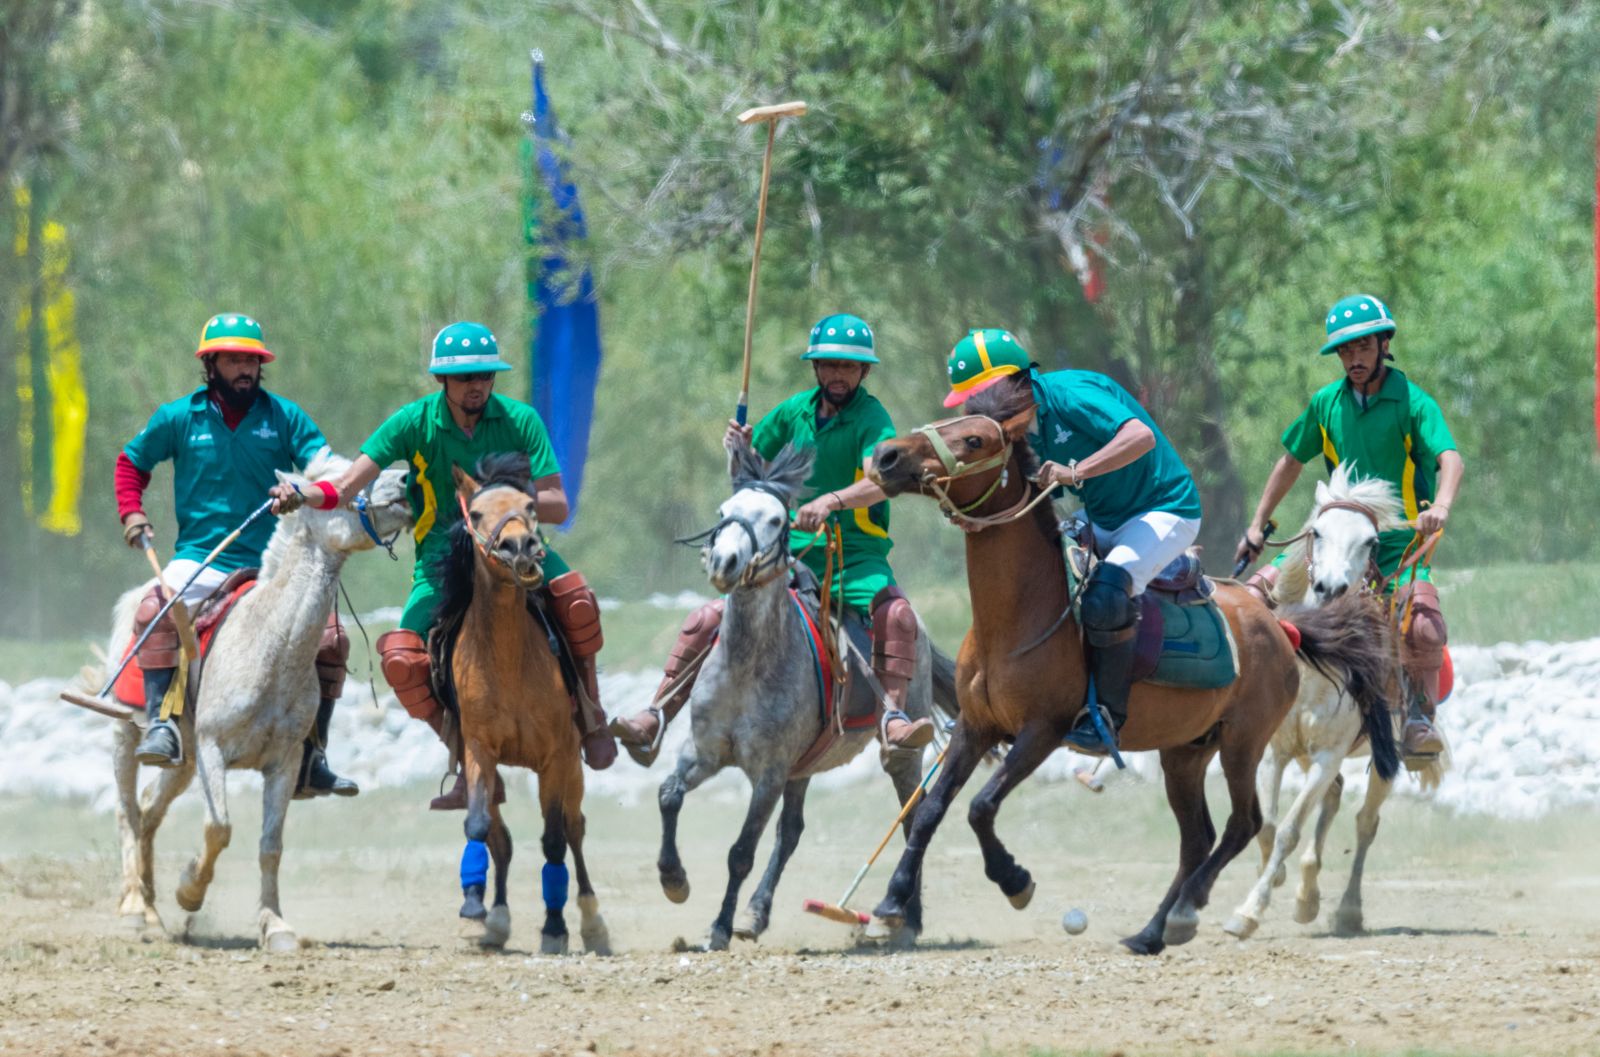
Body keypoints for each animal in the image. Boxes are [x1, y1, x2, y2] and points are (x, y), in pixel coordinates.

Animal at [109, 450, 412, 946]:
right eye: (340, 483)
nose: (405, 479)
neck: (271, 645)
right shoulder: (213, 748)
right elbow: (219, 827)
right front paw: (189, 890)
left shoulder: (284, 763)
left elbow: (271, 846)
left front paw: (276, 926)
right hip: (125, 732)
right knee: (128, 810)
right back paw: (135, 906)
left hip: (184, 757)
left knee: (151, 807)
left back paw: (151, 909)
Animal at [432, 454, 611, 959]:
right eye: (475, 514)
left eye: (530, 505)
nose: (520, 546)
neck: (508, 660)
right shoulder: (478, 749)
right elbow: (479, 826)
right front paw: (476, 906)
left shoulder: (556, 757)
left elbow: (553, 840)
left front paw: (555, 928)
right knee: (502, 839)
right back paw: (495, 919)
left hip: (573, 765)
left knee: (574, 829)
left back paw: (592, 923)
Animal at [656, 441, 953, 953]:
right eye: (723, 512)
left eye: (778, 519)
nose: (723, 562)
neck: (747, 665)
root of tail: (924, 632)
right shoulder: (704, 753)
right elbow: (669, 795)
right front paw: (674, 879)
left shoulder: (769, 773)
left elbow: (740, 852)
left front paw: (718, 928)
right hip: (804, 763)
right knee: (791, 832)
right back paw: (756, 913)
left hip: (897, 747)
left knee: (911, 815)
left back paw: (903, 920)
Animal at [864, 380, 1388, 959]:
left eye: (975, 439)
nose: (886, 457)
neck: (1015, 620)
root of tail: (1280, 625)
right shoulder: (976, 728)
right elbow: (931, 808)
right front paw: (890, 905)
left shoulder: (1043, 730)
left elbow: (980, 806)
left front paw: (1015, 881)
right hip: (1186, 750)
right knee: (1198, 837)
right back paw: (1152, 931)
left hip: (1244, 741)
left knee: (1244, 822)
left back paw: (1186, 913)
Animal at [1222, 466, 1452, 933]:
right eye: (1317, 532)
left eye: (1371, 541)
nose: (1330, 587)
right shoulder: (1274, 751)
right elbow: (1268, 826)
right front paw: (1272, 882)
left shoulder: (1329, 754)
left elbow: (1290, 830)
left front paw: (1250, 910)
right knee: (1333, 799)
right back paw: (1306, 895)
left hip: (1385, 754)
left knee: (1365, 822)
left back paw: (1347, 909)